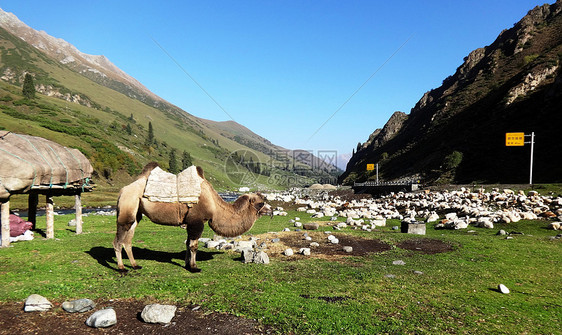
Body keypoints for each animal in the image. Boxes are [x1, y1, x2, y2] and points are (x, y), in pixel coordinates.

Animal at [112, 163, 270, 272]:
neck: (215, 205)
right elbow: (193, 245)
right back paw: (121, 268)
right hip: (128, 205)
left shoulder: (190, 222)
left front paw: (187, 264)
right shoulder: (197, 221)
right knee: (118, 240)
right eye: (261, 203)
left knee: (128, 240)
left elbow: (188, 244)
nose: (271, 210)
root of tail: (122, 190)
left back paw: (135, 265)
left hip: (136, 213)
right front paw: (194, 267)